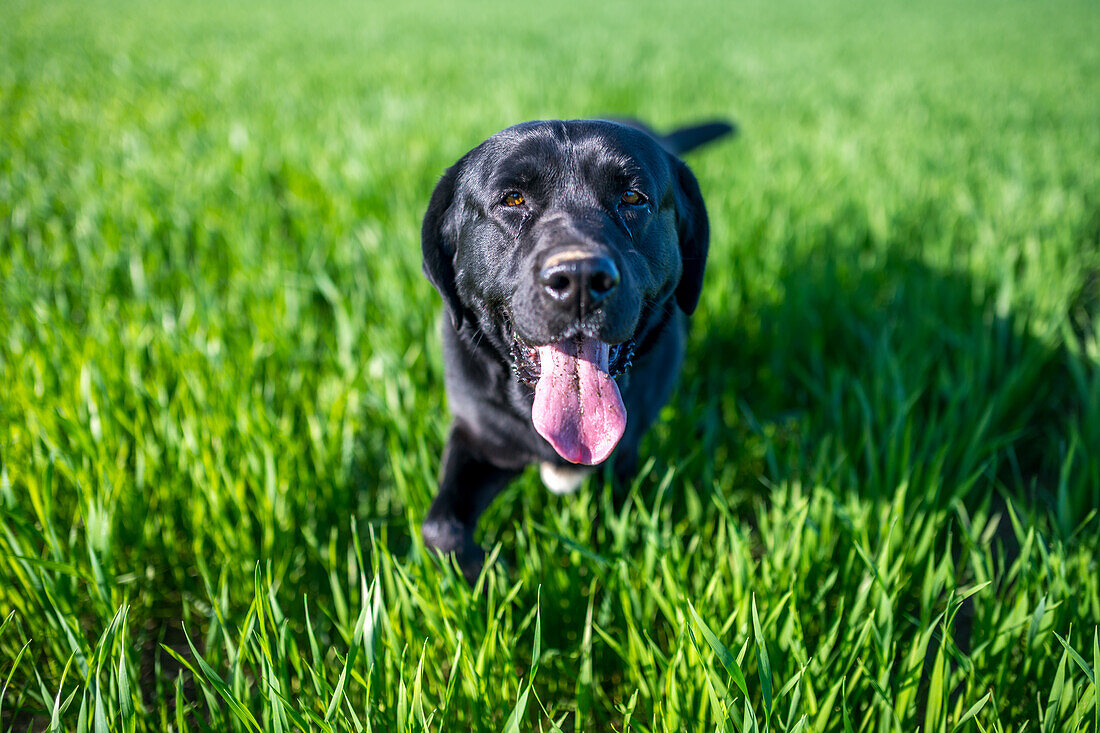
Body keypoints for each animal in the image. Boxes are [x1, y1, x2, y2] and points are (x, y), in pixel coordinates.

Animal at [418, 117, 730, 581]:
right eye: (512, 198)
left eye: (632, 197)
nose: (580, 277)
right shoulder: (477, 433)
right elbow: (439, 527)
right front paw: (490, 574)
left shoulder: (625, 450)